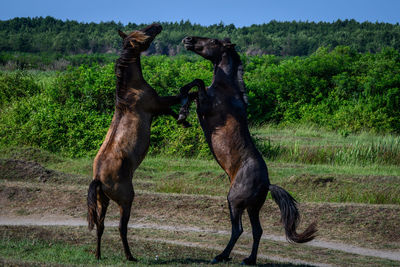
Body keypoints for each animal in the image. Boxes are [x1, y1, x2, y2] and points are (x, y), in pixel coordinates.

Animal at [88, 23, 198, 262]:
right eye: (143, 33)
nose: (158, 25)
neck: (130, 91)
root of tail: (98, 179)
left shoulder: (157, 108)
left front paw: (184, 118)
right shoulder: (157, 105)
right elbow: (184, 95)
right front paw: (184, 116)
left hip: (103, 202)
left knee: (100, 225)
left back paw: (98, 255)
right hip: (126, 200)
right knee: (121, 227)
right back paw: (130, 256)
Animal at [180, 36, 318, 266]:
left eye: (213, 41)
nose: (188, 40)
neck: (226, 88)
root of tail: (267, 184)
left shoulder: (207, 106)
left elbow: (196, 84)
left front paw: (182, 109)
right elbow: (193, 91)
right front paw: (182, 113)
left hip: (234, 201)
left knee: (238, 229)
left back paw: (221, 256)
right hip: (253, 207)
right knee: (257, 231)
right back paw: (249, 259)